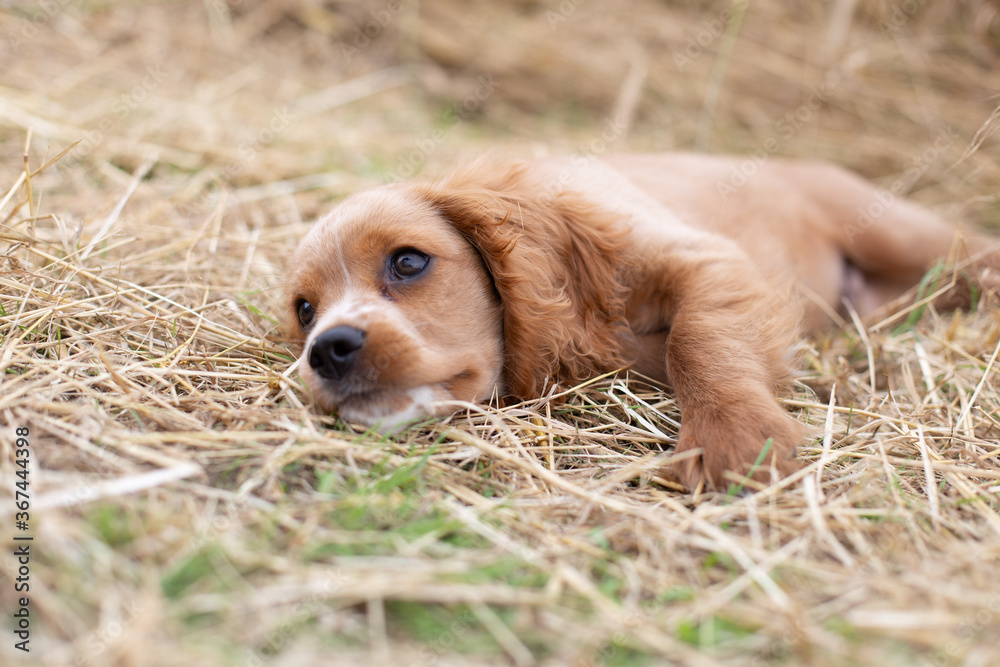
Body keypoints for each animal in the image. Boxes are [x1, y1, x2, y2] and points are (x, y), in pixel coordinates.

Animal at [282, 155, 992, 490]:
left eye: (408, 261)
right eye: (305, 311)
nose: (329, 349)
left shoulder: (709, 260)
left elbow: (697, 339)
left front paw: (733, 437)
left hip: (902, 233)